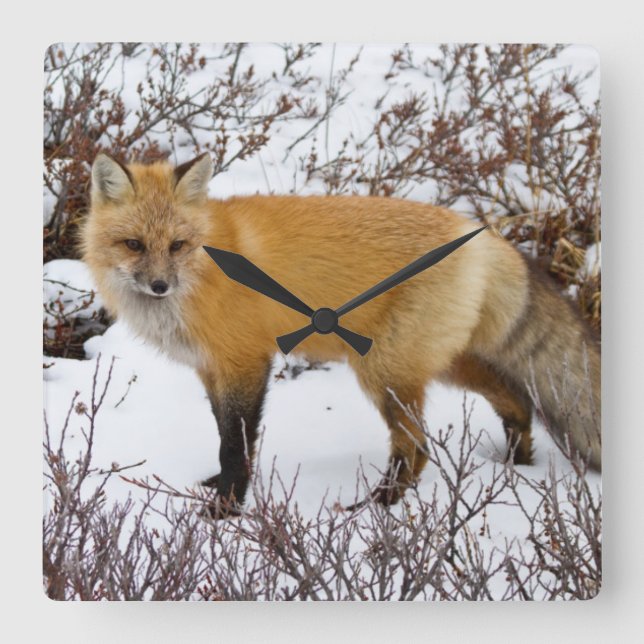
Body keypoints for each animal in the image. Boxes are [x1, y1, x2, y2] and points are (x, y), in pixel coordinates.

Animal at [81, 152, 601, 517]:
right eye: (133, 245)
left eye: (177, 245)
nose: (159, 285)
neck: (203, 272)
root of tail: (480, 232)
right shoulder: (211, 370)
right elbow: (225, 434)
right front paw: (219, 488)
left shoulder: (245, 362)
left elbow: (236, 443)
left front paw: (227, 509)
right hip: (439, 362)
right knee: (516, 398)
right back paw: (516, 463)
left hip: (383, 370)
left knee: (417, 446)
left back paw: (381, 505)